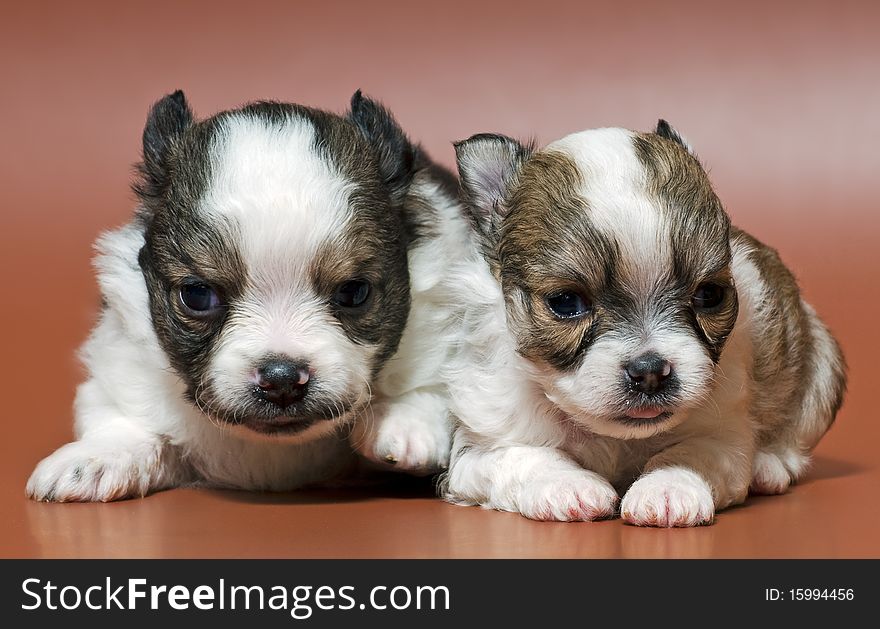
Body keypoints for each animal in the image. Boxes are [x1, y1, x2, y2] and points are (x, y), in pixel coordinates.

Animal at [444, 121, 848, 524]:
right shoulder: (479, 450)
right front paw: (565, 484)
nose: (650, 371)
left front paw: (668, 487)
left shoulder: (722, 436)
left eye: (709, 295)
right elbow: (524, 455)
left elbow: (690, 452)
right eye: (566, 303)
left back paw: (769, 465)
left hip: (820, 364)